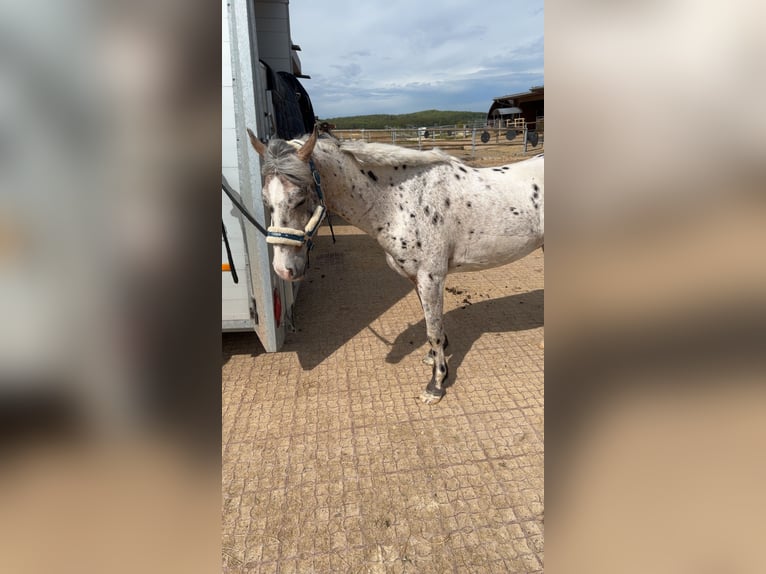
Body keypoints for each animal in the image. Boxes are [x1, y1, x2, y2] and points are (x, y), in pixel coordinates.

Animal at [249, 126, 544, 404]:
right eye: (266, 201)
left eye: (300, 198)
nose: (283, 269)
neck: (402, 201)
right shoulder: (417, 278)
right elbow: (432, 326)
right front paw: (434, 359)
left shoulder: (431, 277)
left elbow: (433, 330)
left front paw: (436, 384)